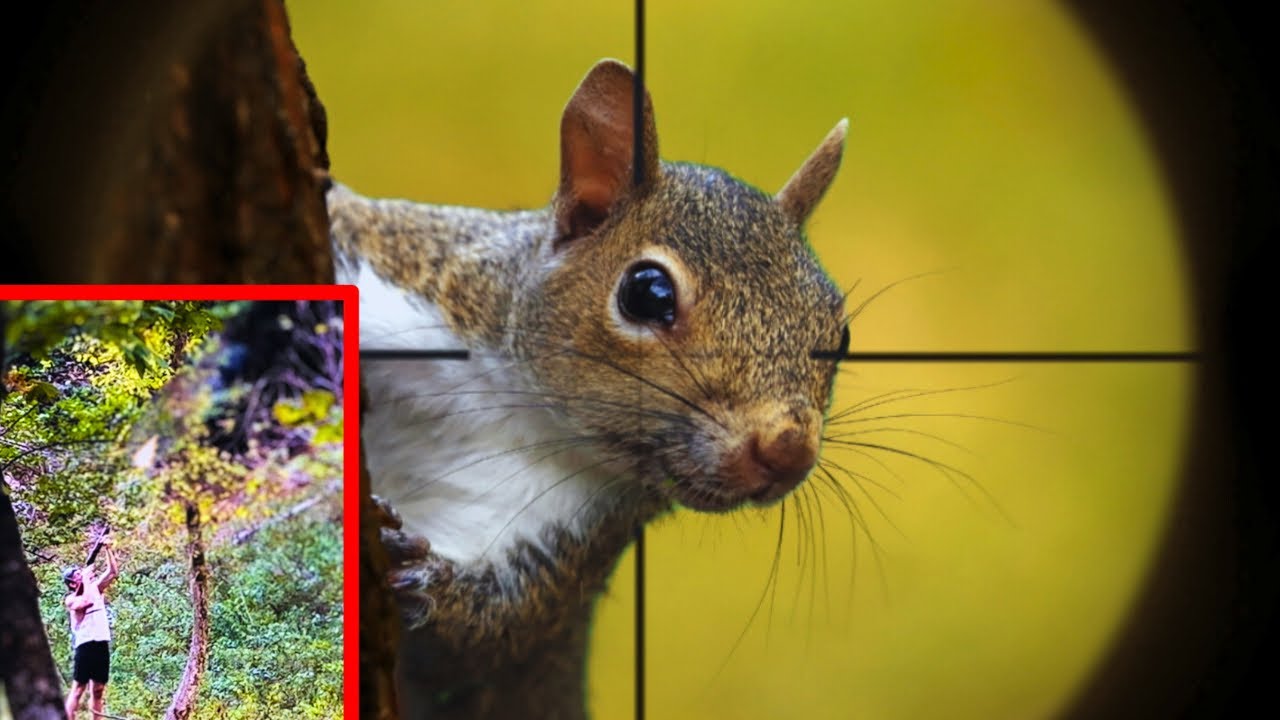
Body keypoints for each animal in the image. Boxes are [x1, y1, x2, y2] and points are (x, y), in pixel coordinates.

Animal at [329, 59, 849, 719]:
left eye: (841, 332)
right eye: (647, 292)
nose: (788, 452)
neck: (515, 404)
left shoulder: (570, 538)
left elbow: (489, 630)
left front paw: (419, 569)